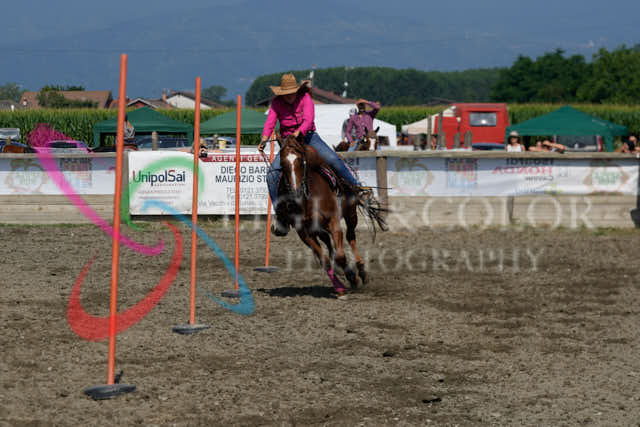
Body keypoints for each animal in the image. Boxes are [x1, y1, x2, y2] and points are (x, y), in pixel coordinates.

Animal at [277, 134, 386, 299]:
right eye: (282, 163)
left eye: (301, 161)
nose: (295, 193)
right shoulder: (304, 232)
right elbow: (324, 260)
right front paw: (341, 287)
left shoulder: (333, 222)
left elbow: (341, 255)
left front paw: (353, 278)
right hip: (319, 228)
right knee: (328, 242)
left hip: (350, 214)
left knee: (350, 237)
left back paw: (361, 271)